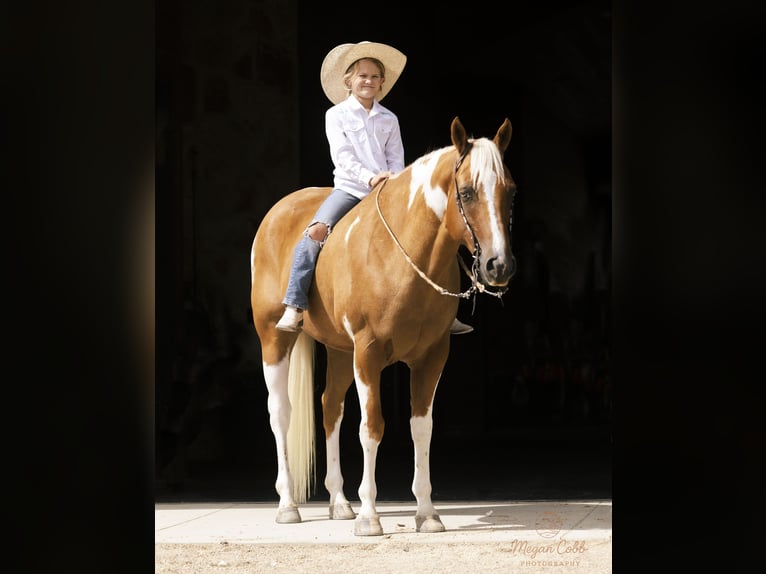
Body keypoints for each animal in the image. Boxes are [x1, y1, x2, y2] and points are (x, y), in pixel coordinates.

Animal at [250, 116, 517, 536]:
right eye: (468, 192)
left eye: (511, 191)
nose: (499, 266)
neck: (402, 255)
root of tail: (277, 213)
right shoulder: (369, 354)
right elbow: (371, 427)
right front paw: (369, 515)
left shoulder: (432, 356)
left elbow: (421, 428)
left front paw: (427, 513)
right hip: (274, 340)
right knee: (281, 412)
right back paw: (288, 504)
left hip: (339, 351)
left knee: (330, 408)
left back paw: (339, 502)